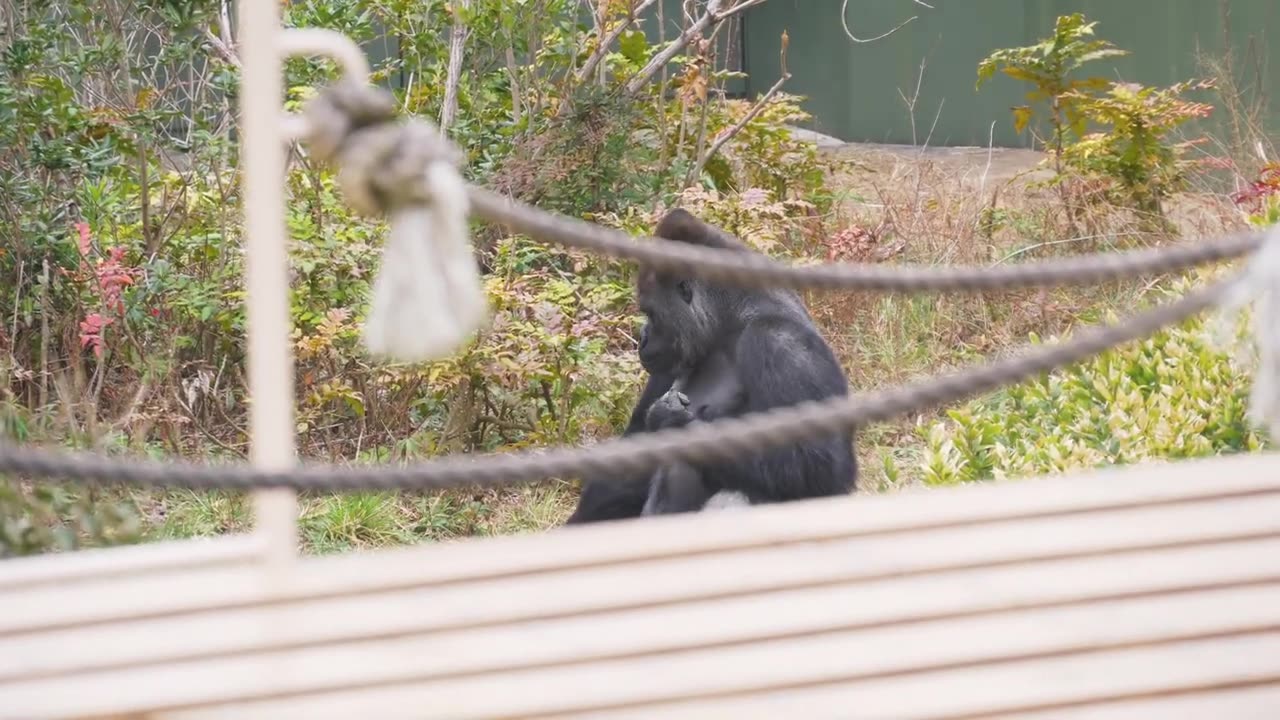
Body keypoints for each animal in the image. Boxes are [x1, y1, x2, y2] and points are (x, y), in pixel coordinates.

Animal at [565, 207, 855, 520]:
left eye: (651, 313)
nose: (642, 339)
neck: (731, 321)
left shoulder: (781, 341)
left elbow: (820, 465)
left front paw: (672, 423)